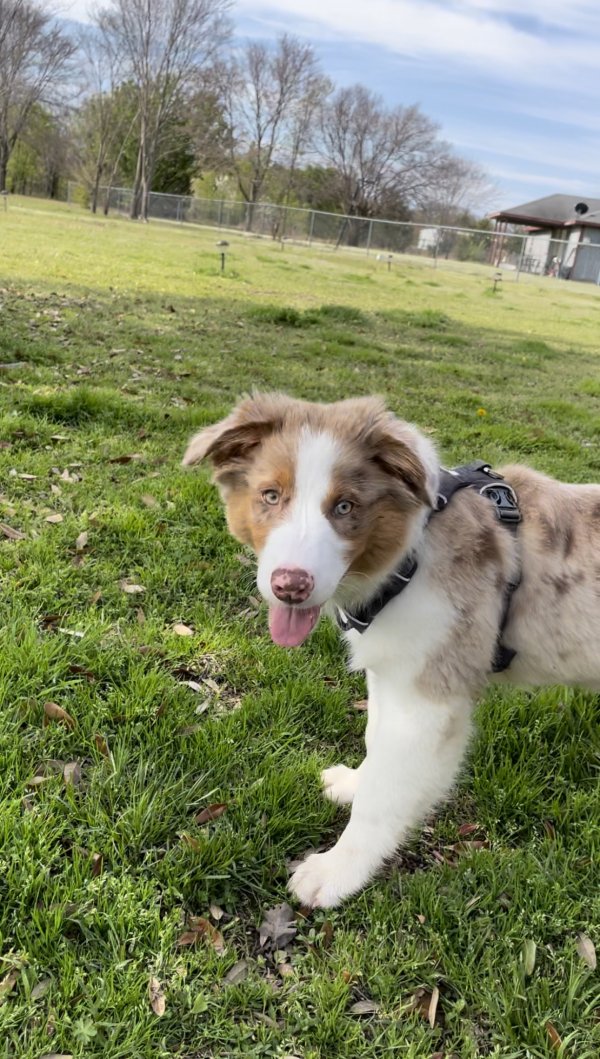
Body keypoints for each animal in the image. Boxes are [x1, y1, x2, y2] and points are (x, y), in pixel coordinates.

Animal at [183, 393, 600, 906]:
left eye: (345, 506)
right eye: (270, 496)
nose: (291, 587)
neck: (409, 559)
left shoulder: (428, 702)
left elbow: (383, 798)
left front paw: (335, 872)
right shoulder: (390, 674)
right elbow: (375, 744)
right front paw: (354, 783)